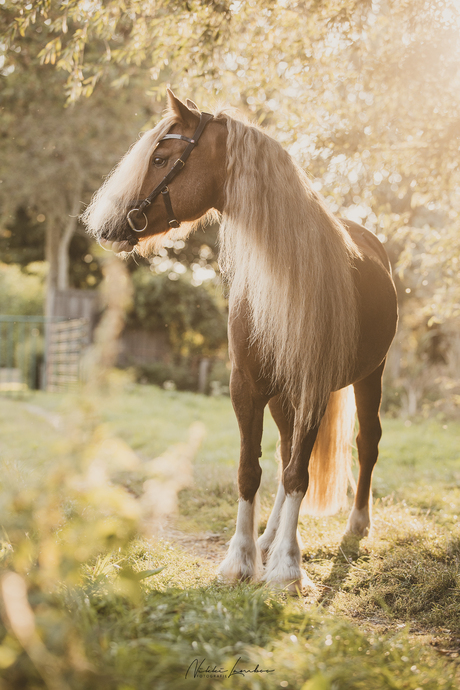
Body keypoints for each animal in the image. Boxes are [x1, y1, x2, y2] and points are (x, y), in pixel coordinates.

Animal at [83, 88, 398, 588]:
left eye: (161, 158)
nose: (107, 226)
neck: (285, 279)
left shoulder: (313, 388)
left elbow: (298, 476)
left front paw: (287, 566)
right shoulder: (246, 386)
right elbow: (252, 471)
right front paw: (242, 559)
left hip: (370, 376)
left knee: (365, 445)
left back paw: (355, 525)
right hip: (282, 397)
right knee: (288, 452)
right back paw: (268, 537)